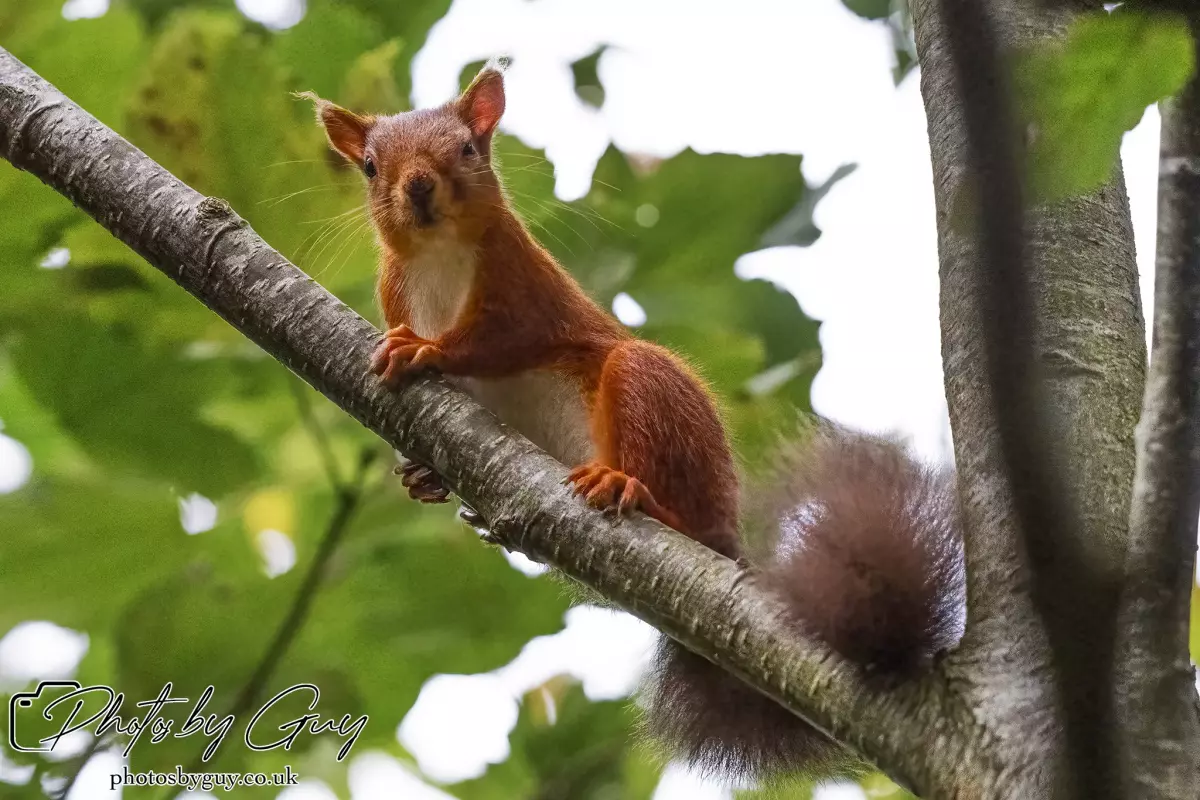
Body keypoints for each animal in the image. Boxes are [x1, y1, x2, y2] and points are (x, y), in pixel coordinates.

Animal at [305, 62, 965, 781]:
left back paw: (632, 491)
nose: (419, 186)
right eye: (371, 166)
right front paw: (419, 474)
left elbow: (501, 339)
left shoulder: (522, 285)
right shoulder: (394, 291)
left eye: (468, 149)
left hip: (646, 388)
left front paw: (427, 350)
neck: (435, 258)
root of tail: (723, 545)